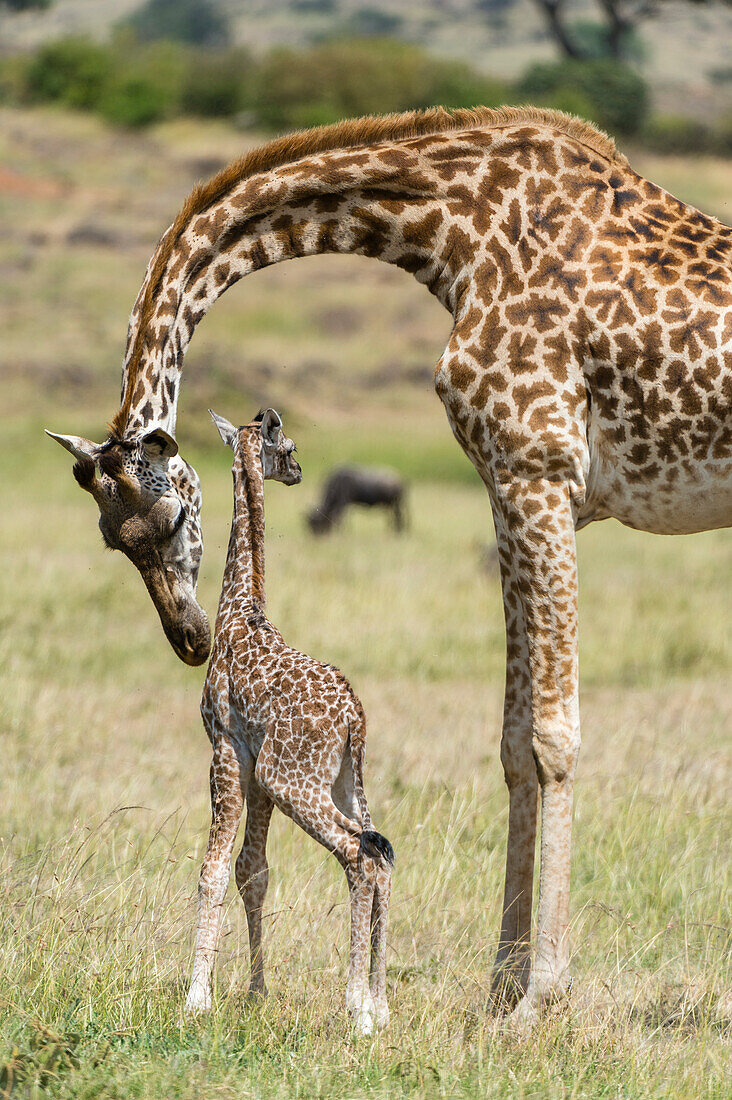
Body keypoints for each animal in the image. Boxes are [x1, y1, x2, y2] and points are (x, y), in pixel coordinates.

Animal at [187, 409, 394, 1034]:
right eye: (292, 449)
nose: (300, 472)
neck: (239, 608)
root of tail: (354, 717)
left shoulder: (226, 750)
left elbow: (212, 869)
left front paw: (197, 997)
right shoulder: (255, 765)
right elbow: (252, 871)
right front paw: (256, 991)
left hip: (293, 781)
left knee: (359, 857)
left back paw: (357, 1007)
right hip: (342, 782)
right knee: (382, 855)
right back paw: (381, 1005)